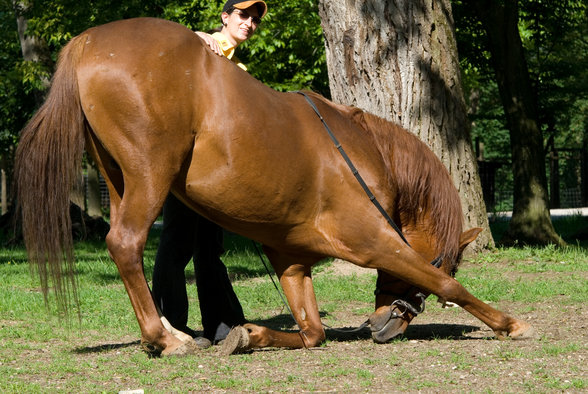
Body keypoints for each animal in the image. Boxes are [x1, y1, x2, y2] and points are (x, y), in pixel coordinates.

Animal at [14, 18, 532, 356]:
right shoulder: (375, 241)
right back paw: (165, 338)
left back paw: (174, 332)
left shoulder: (291, 262)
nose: (383, 327)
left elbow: (312, 332)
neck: (364, 151)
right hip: (150, 176)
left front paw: (249, 334)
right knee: (126, 243)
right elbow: (448, 284)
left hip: (119, 179)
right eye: (449, 257)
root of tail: (87, 42)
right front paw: (511, 324)